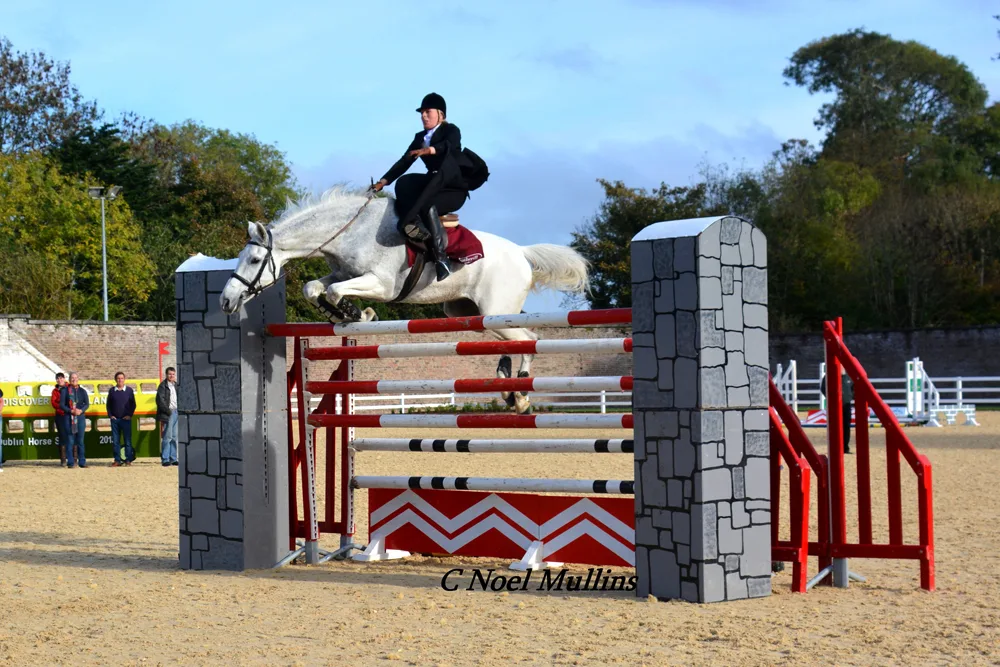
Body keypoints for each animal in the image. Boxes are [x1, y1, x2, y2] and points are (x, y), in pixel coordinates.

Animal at [219, 188, 588, 412]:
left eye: (254, 260)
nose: (226, 300)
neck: (350, 232)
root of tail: (522, 253)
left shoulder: (381, 285)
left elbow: (338, 292)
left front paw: (358, 314)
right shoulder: (341, 273)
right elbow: (314, 288)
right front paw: (344, 314)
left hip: (497, 312)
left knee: (530, 338)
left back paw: (522, 394)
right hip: (474, 313)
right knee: (512, 340)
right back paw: (507, 386)